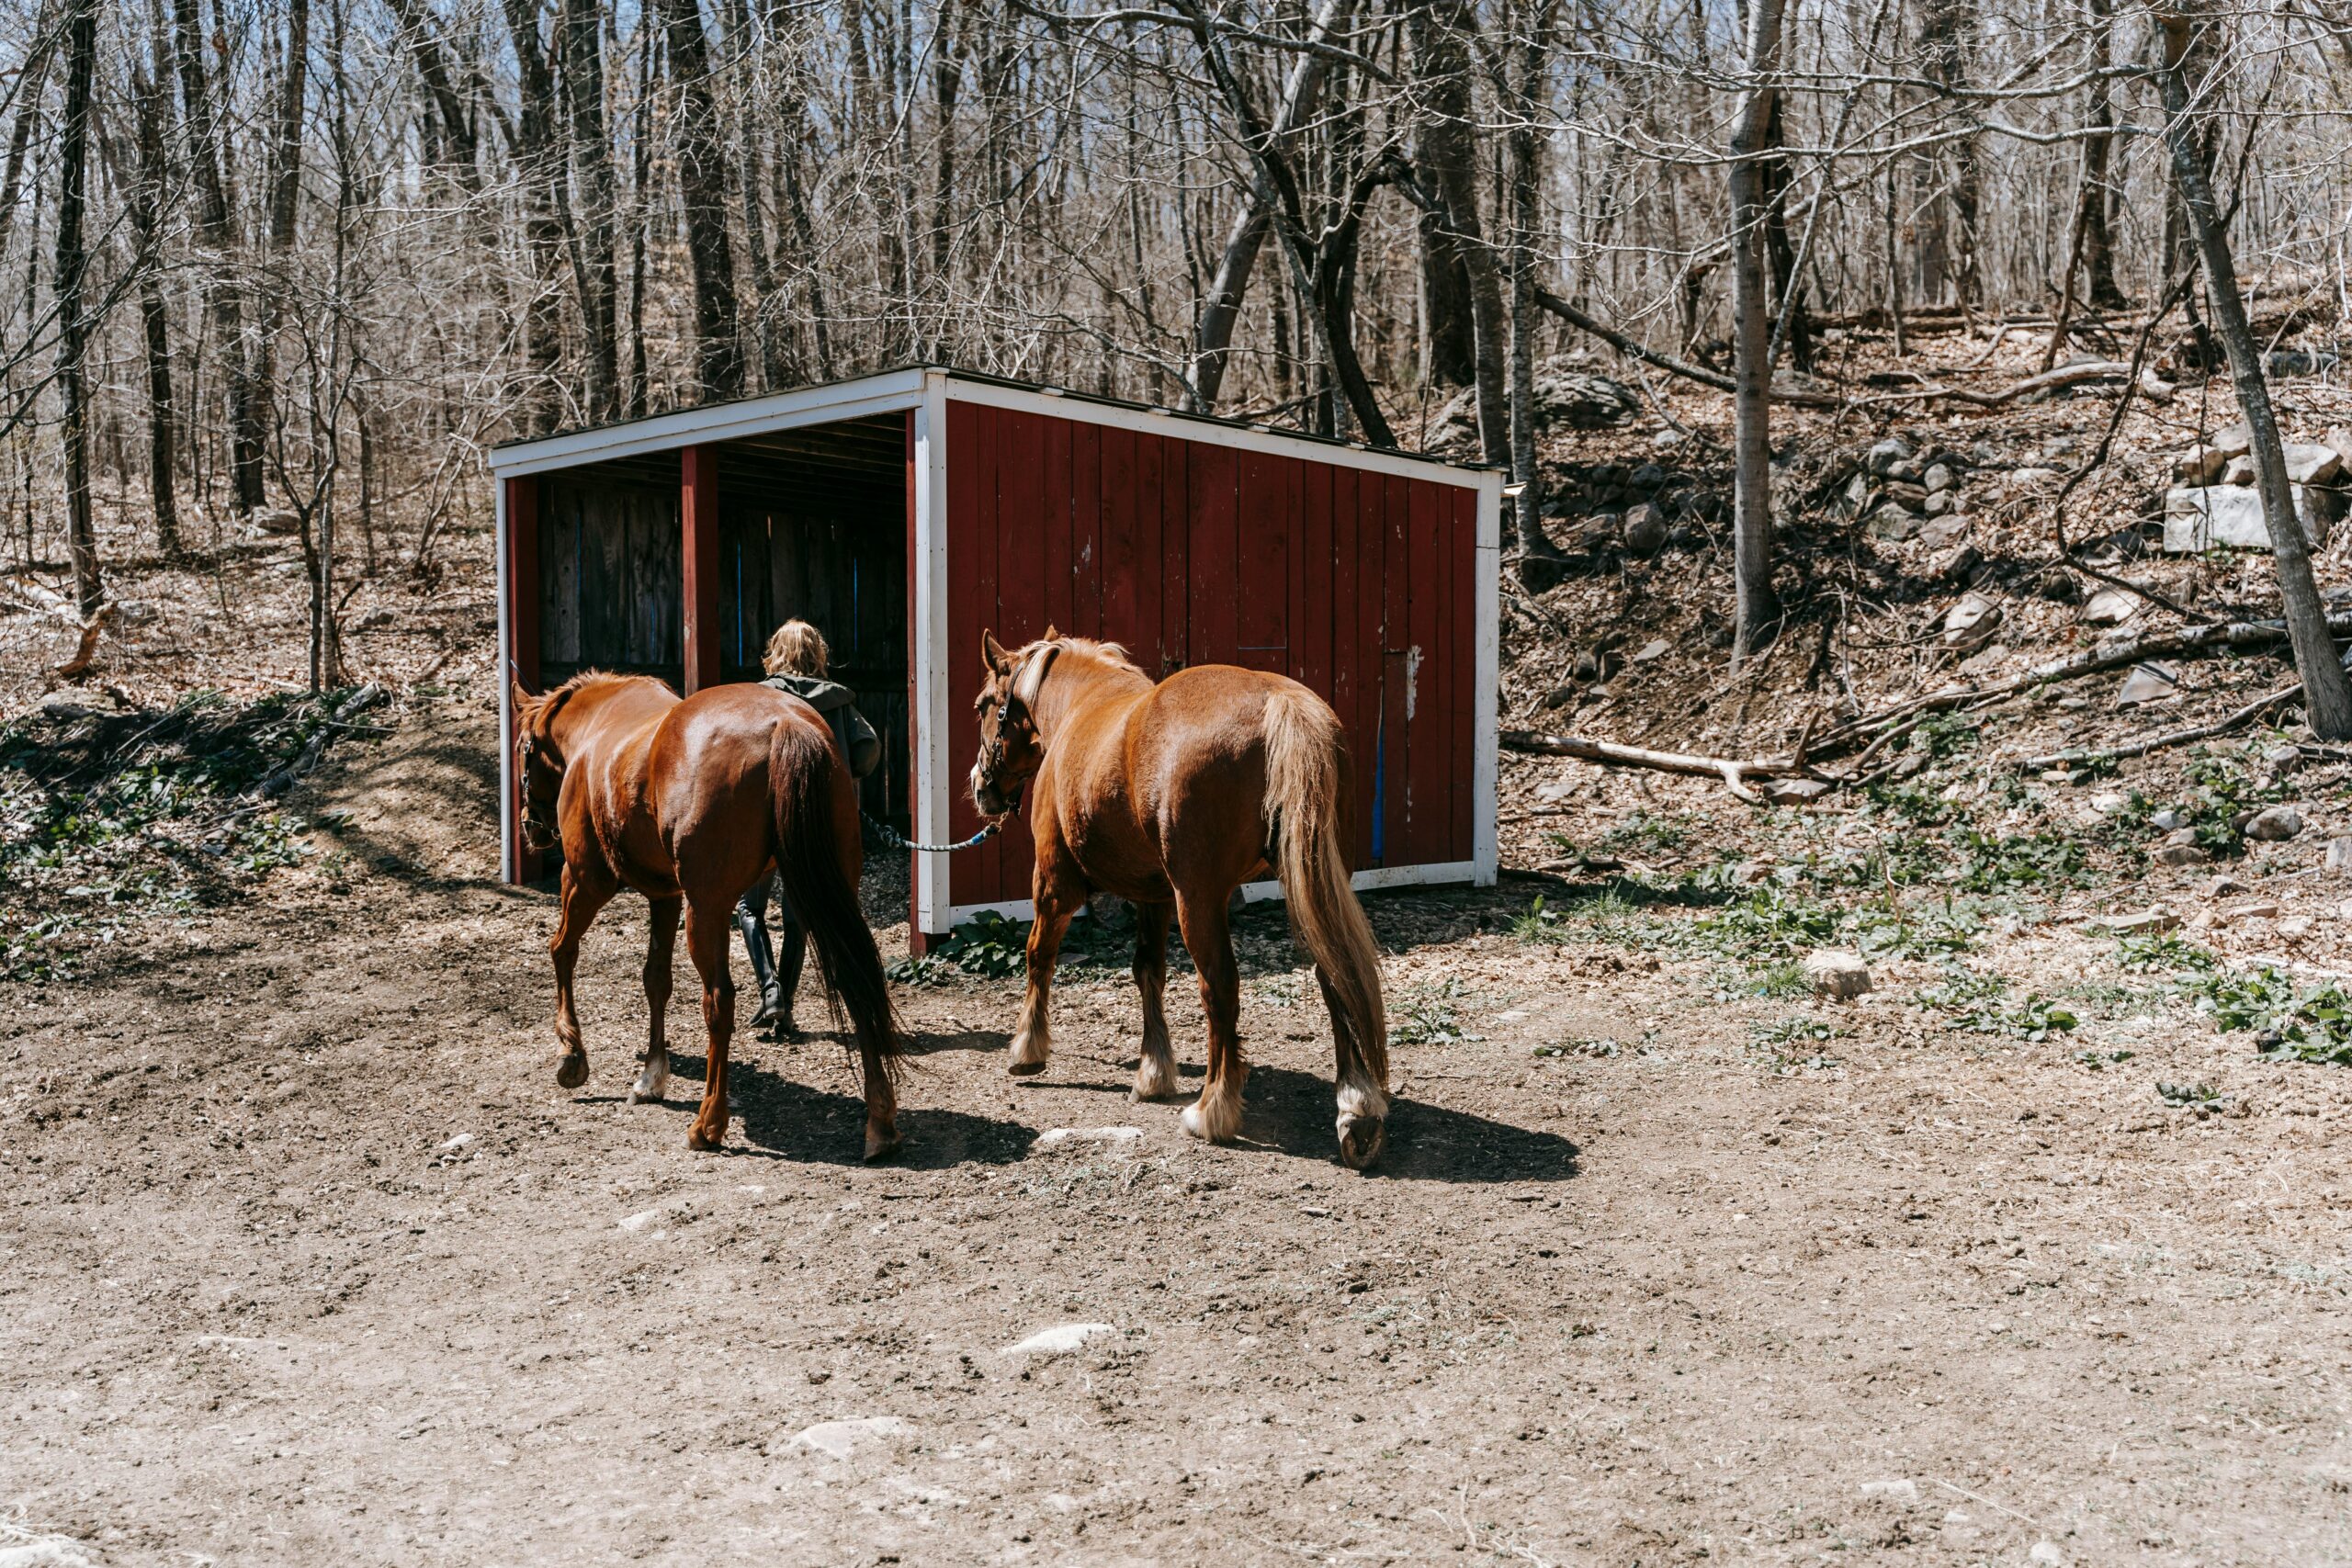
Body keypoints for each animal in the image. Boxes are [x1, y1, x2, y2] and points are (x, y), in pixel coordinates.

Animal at [510, 667, 903, 1161]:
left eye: (523, 748)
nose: (530, 827)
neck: (598, 726)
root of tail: (786, 723)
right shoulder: (664, 895)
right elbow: (656, 979)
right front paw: (652, 1074)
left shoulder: (585, 879)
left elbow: (562, 950)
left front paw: (572, 1055)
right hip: (829, 892)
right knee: (856, 982)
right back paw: (880, 1121)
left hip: (707, 908)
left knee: (719, 1001)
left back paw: (709, 1123)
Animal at [964, 634, 1383, 1166]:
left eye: (983, 705)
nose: (980, 786)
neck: (1080, 706)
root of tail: (1278, 701)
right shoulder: (1154, 895)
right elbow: (1149, 971)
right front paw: (1153, 1072)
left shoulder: (1055, 883)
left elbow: (1039, 955)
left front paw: (1027, 1050)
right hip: (1312, 882)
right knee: (1335, 976)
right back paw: (1355, 1109)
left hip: (1198, 900)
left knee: (1220, 988)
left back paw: (1212, 1109)